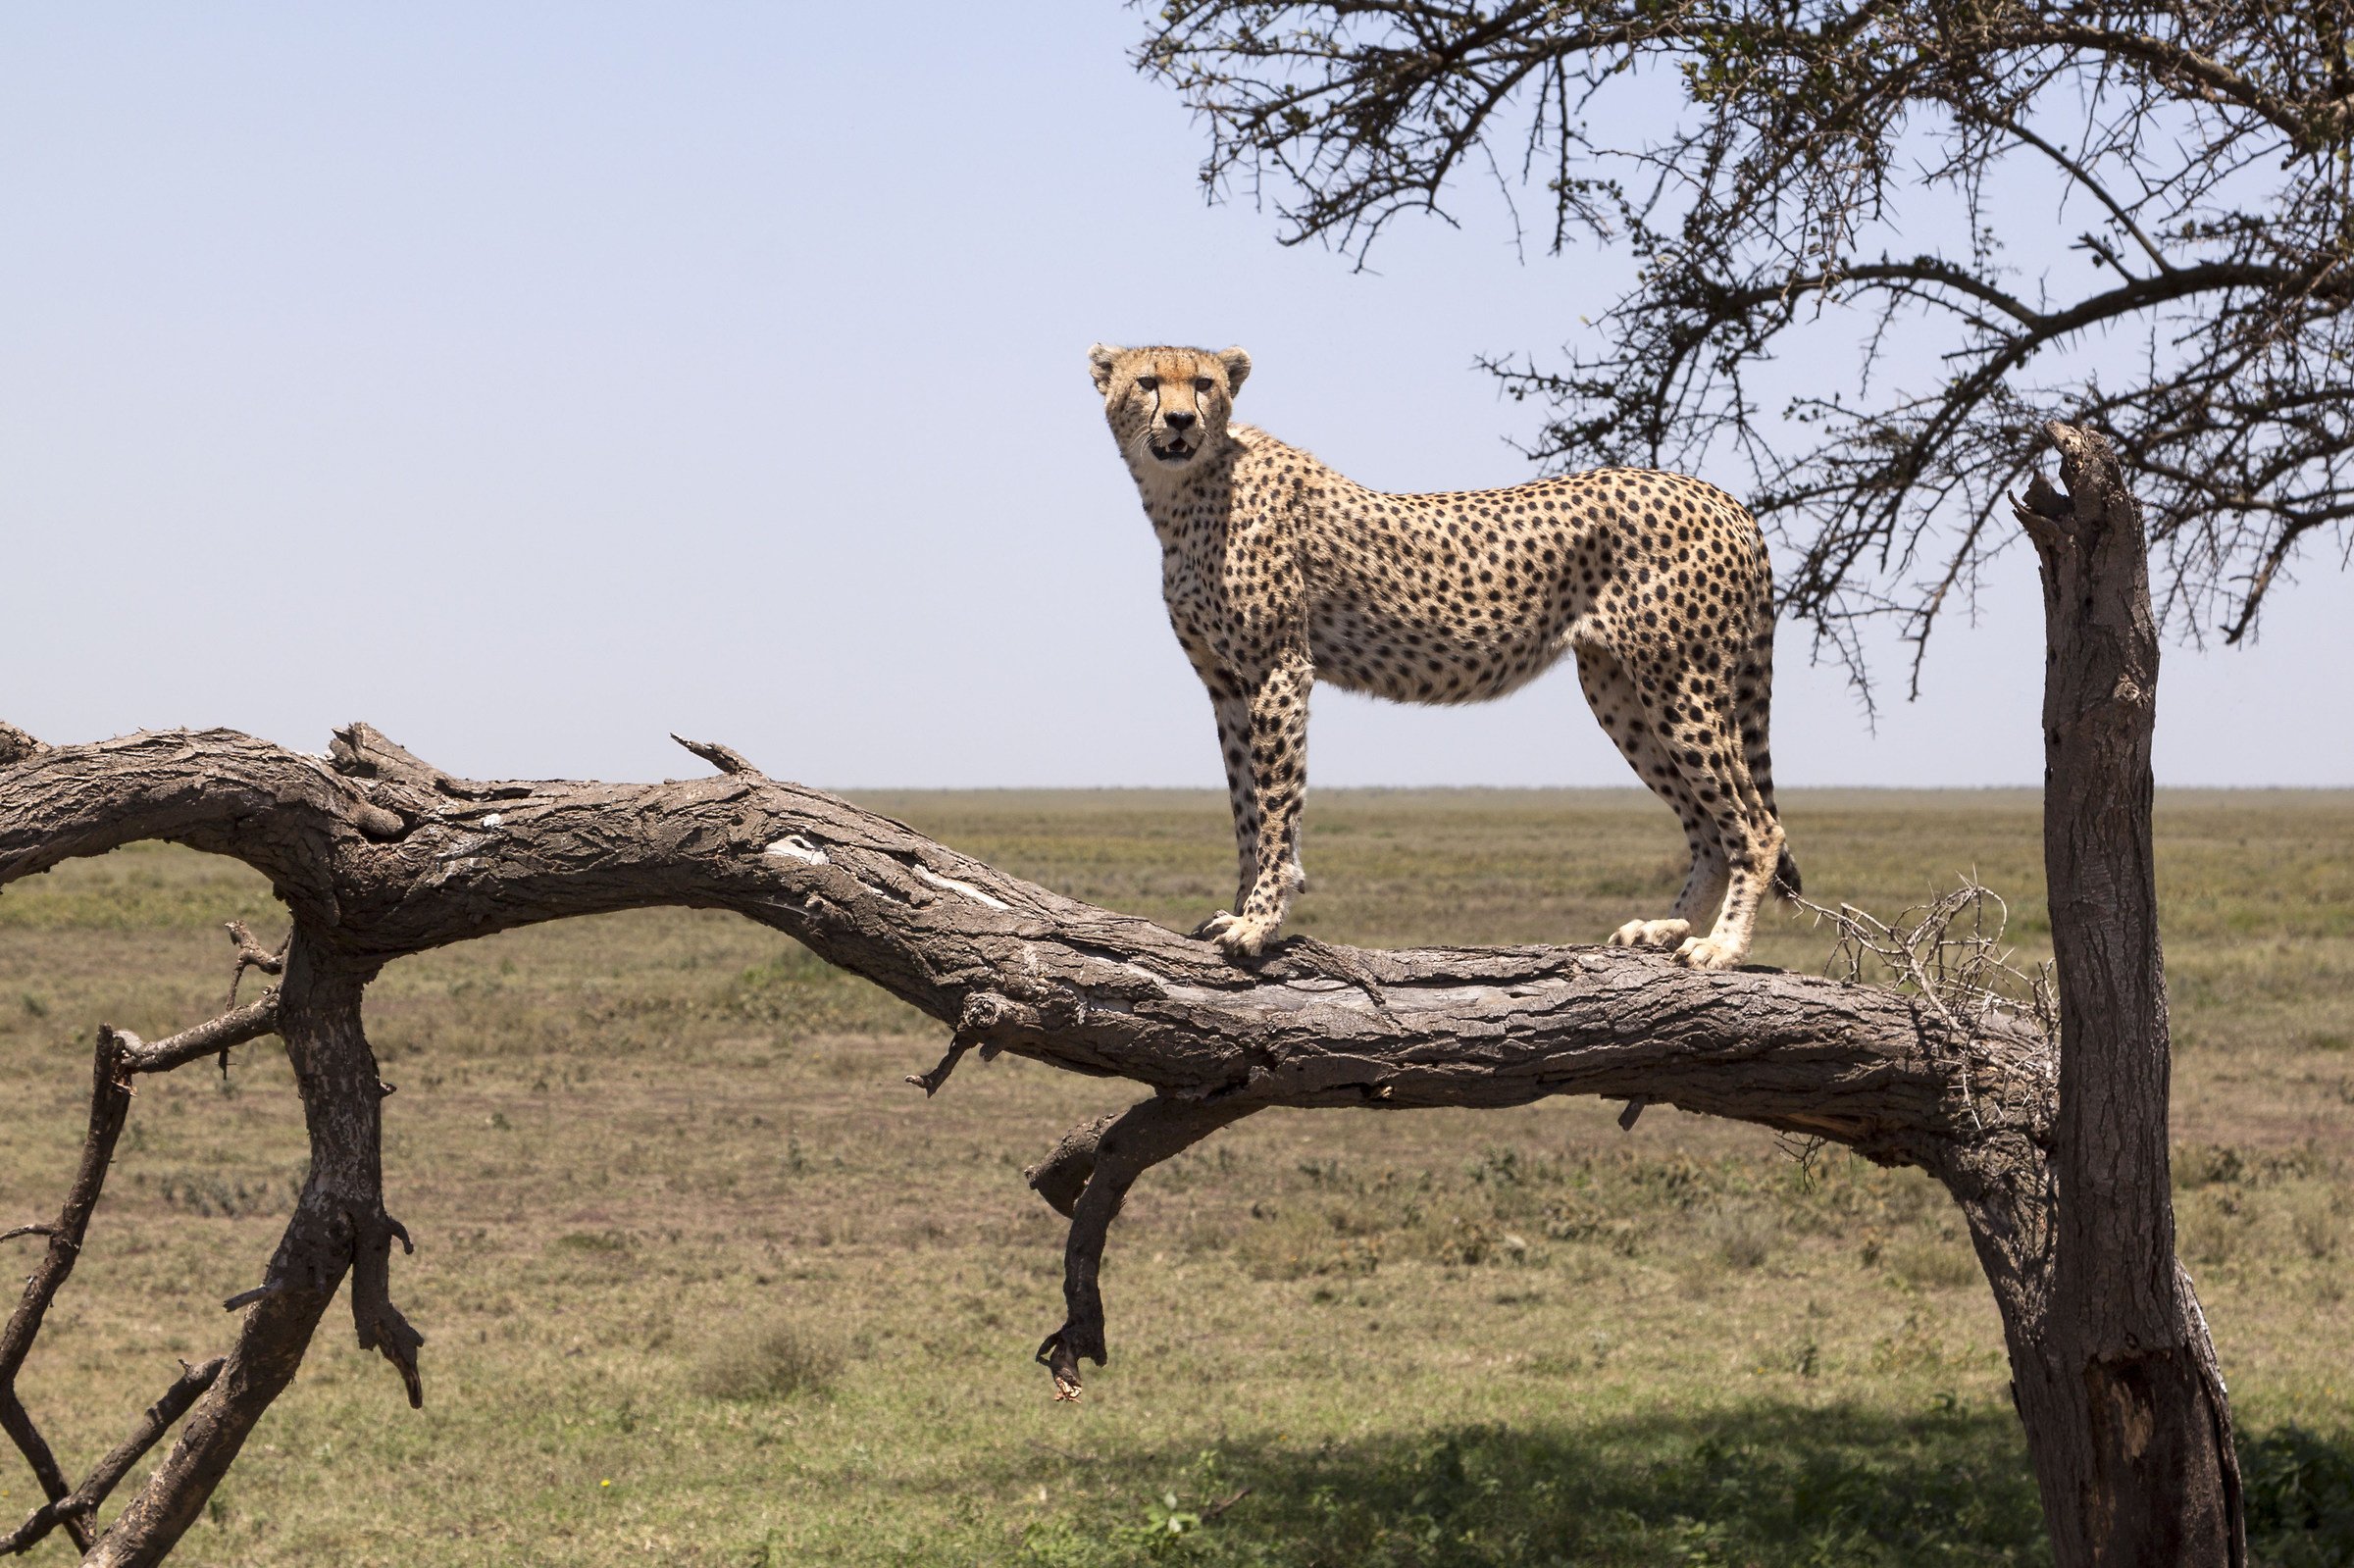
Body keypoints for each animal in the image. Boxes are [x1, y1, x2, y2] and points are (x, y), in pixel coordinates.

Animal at [1089, 342, 1800, 971]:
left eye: (1204, 384)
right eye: (1148, 382)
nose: (1181, 421)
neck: (1184, 493)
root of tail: (1723, 496)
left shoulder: (1278, 670)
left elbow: (1276, 808)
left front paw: (1260, 922)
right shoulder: (1228, 686)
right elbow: (1244, 805)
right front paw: (1237, 908)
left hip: (1680, 680)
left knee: (1759, 826)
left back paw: (1721, 947)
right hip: (1621, 690)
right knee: (1708, 827)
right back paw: (1664, 929)